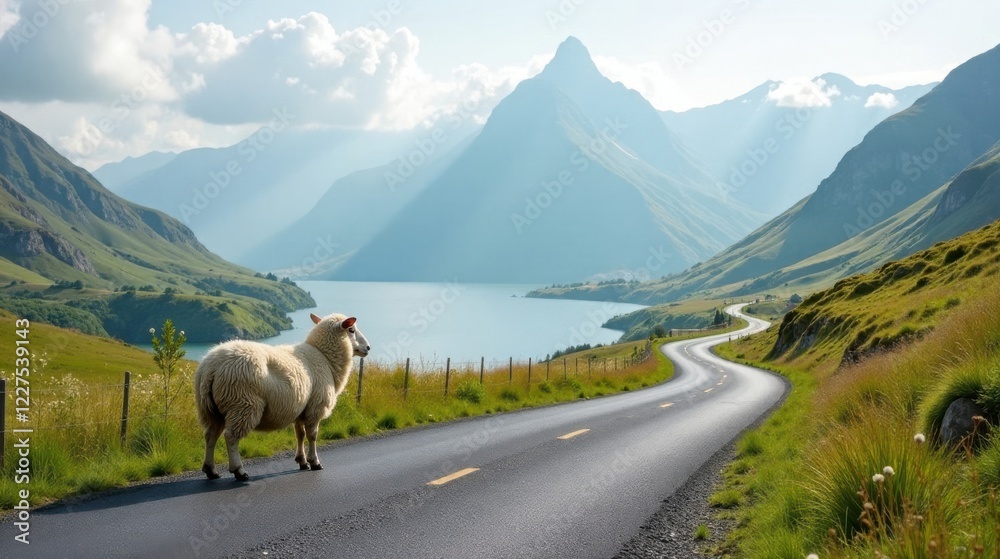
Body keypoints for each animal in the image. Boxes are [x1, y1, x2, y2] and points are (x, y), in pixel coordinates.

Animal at [194, 313, 370, 481]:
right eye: (351, 330)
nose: (368, 347)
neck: (325, 358)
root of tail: (212, 366)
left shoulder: (302, 409)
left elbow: (300, 435)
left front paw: (302, 461)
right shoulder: (316, 407)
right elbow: (312, 436)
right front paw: (315, 462)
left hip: (211, 409)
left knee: (210, 435)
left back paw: (211, 470)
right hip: (243, 404)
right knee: (231, 437)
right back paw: (239, 471)